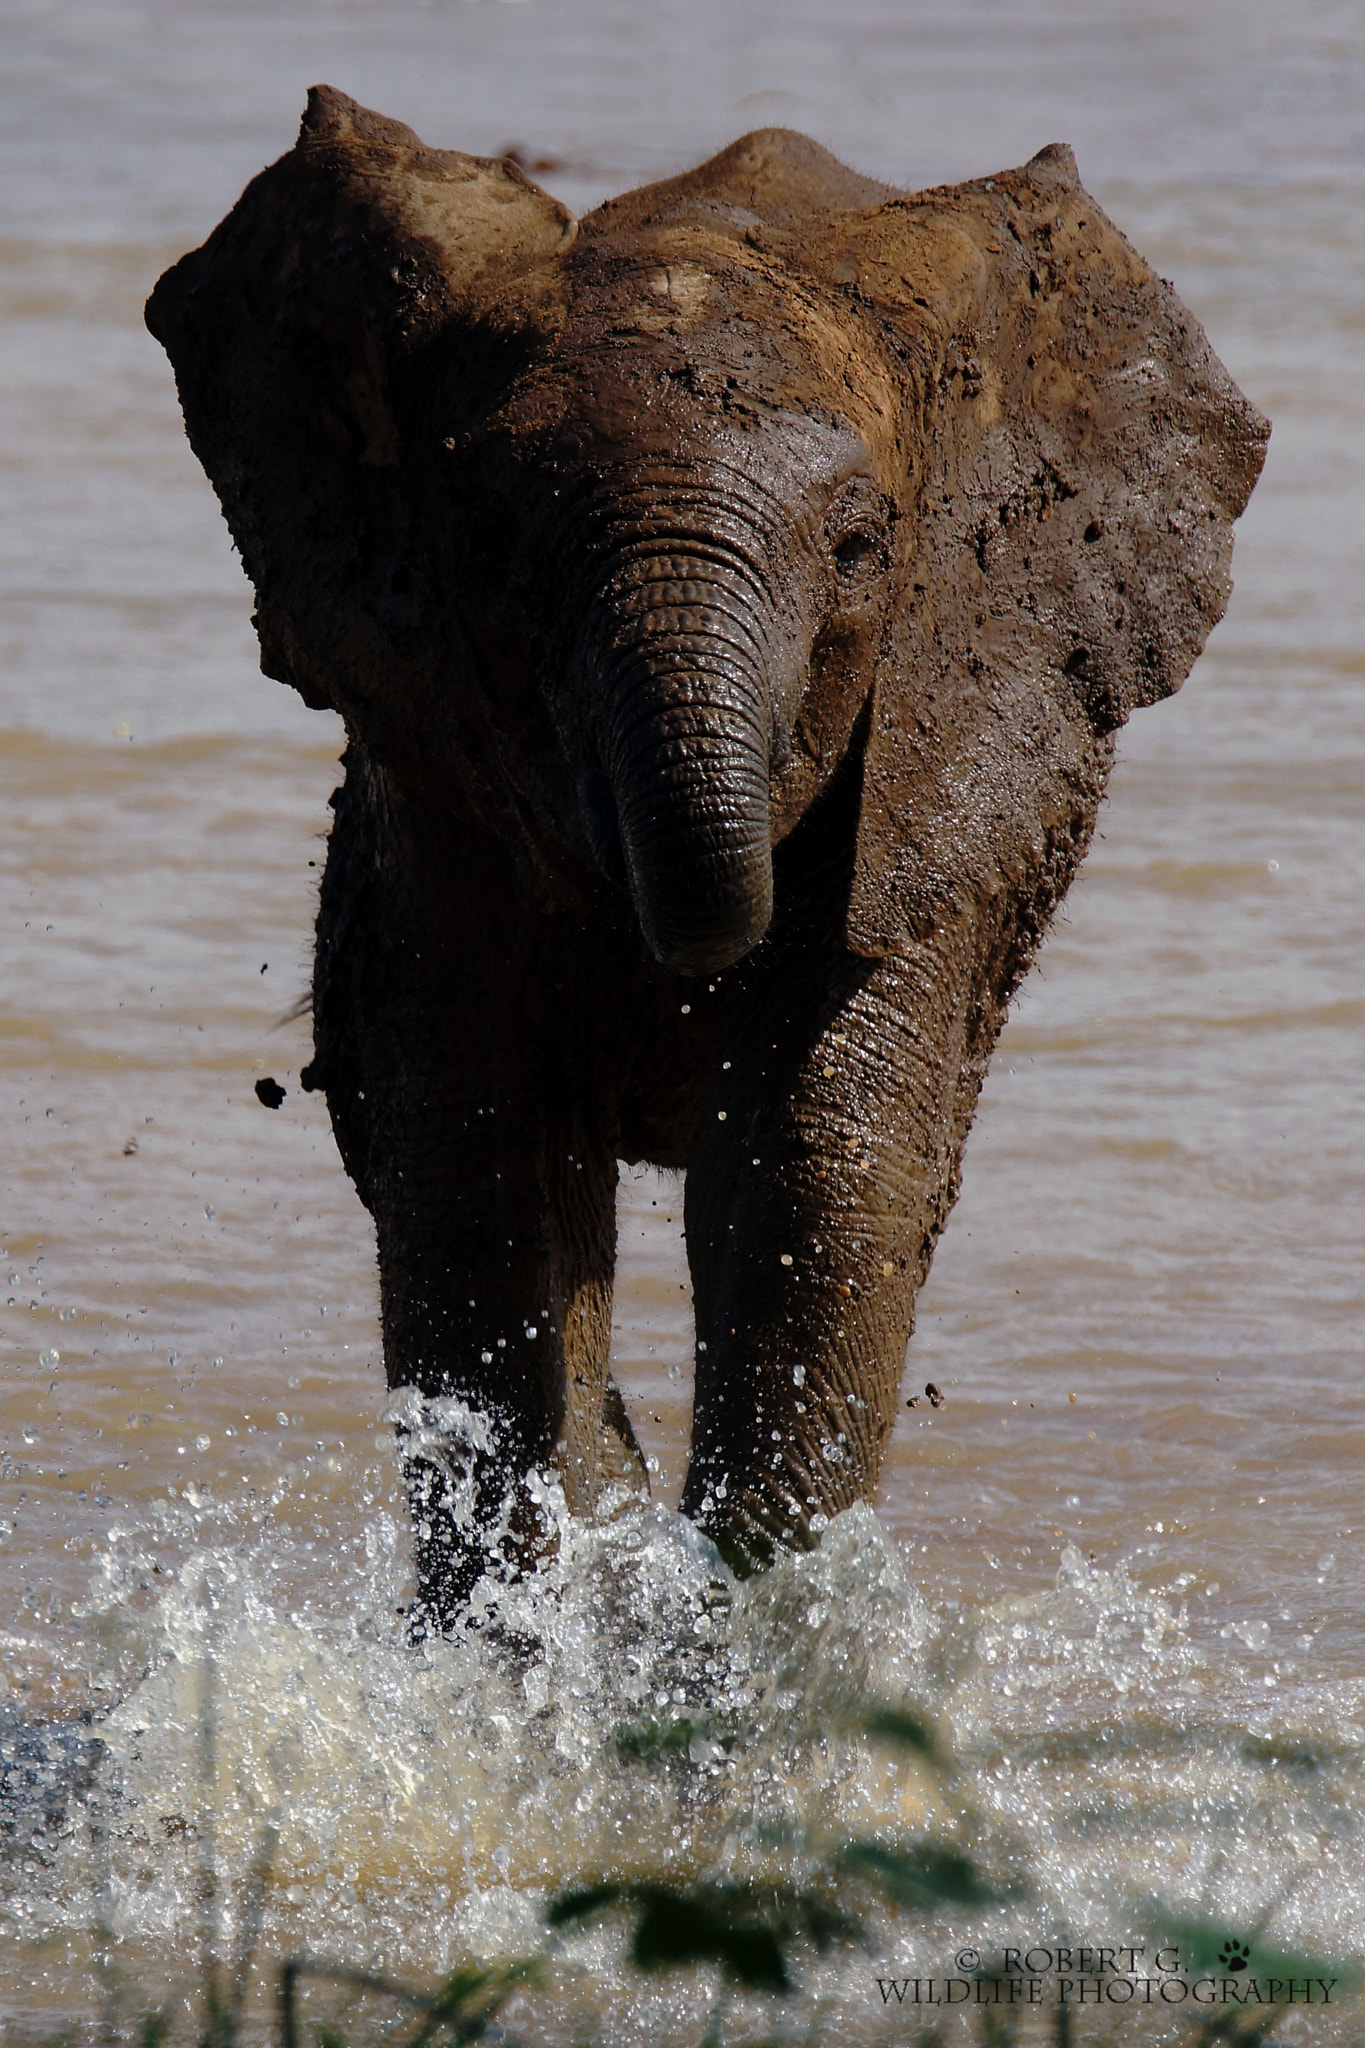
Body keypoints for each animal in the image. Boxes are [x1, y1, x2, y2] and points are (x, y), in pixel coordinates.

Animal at [144, 92, 1268, 1630]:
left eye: (859, 551)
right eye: (491, 545)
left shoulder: (933, 787)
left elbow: (818, 1171)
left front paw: (725, 1657)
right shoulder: (436, 807)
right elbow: (484, 1178)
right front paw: (556, 1650)